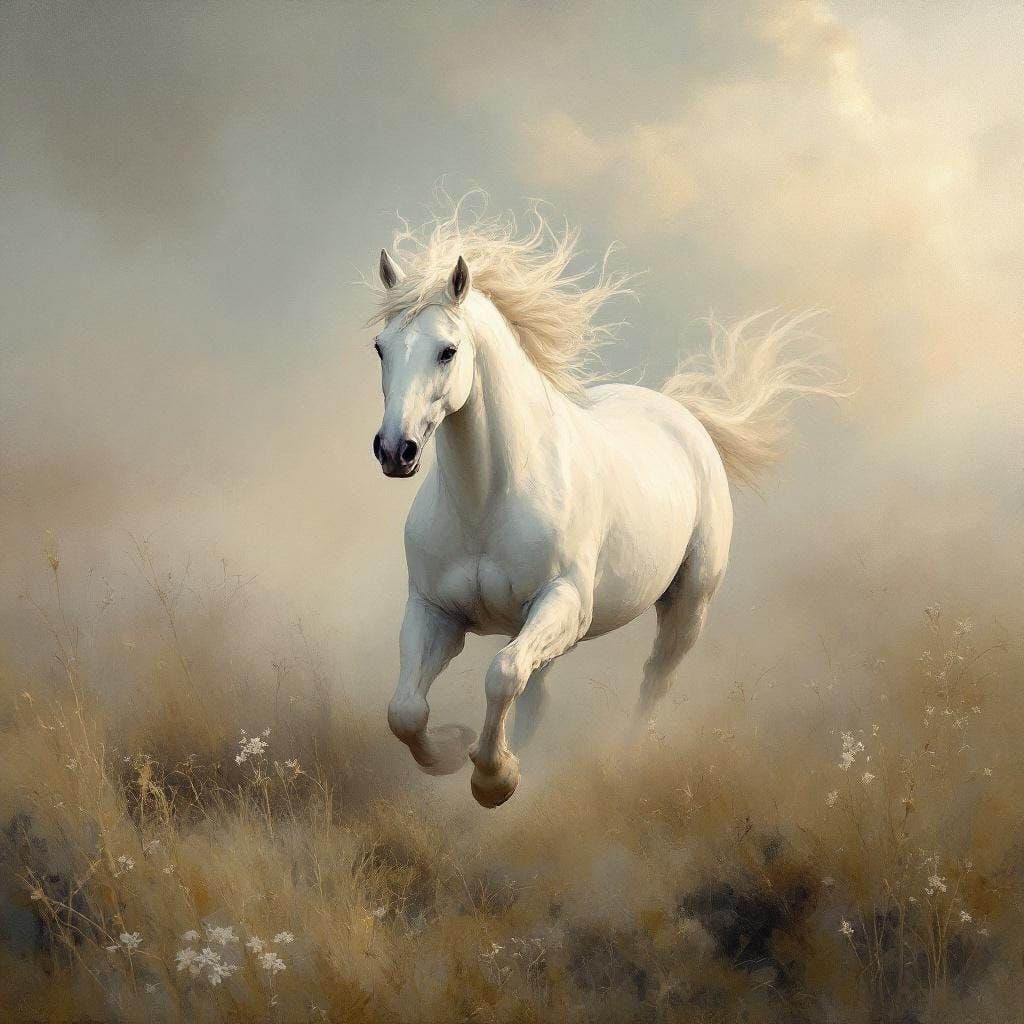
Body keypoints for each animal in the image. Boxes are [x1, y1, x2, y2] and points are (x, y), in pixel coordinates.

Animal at [366, 199, 840, 808]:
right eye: (380, 348)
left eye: (447, 351)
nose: (394, 450)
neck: (487, 501)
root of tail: (681, 413)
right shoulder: (433, 611)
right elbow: (405, 710)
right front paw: (455, 749)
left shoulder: (564, 601)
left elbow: (501, 673)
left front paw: (494, 779)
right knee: (537, 690)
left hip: (688, 603)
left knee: (653, 680)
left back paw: (626, 761)